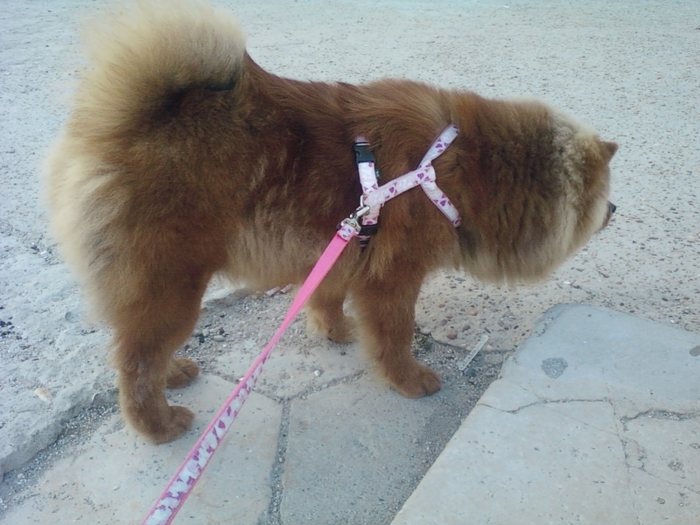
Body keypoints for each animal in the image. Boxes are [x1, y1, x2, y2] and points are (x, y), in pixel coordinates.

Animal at [46, 0, 616, 443]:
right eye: (600, 197)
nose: (615, 210)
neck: (452, 169)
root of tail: (117, 126)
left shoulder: (342, 246)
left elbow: (327, 295)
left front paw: (334, 329)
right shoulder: (393, 279)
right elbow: (395, 337)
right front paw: (409, 380)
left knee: (142, 351)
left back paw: (177, 372)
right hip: (171, 287)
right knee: (135, 363)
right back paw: (158, 424)